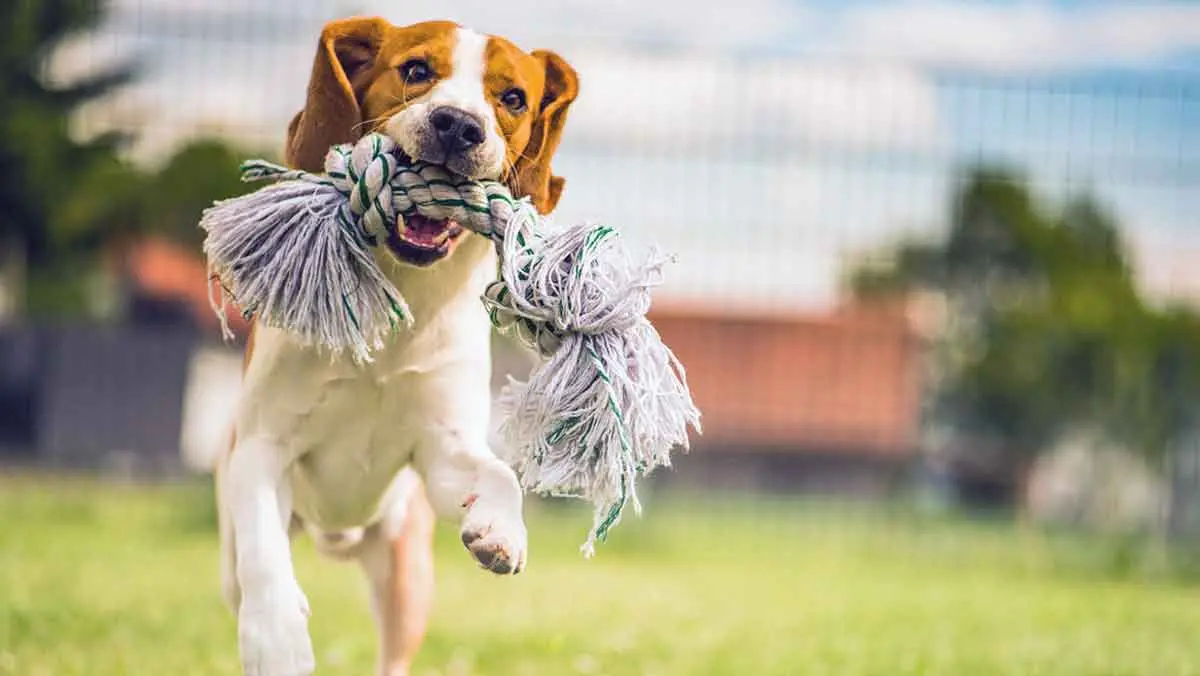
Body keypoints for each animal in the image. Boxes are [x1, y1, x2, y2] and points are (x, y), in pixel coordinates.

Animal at [216, 17, 580, 676]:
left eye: (513, 98)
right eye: (415, 70)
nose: (458, 125)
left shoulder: (440, 451)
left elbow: (497, 473)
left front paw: (502, 529)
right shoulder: (261, 445)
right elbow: (264, 556)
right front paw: (276, 636)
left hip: (406, 575)